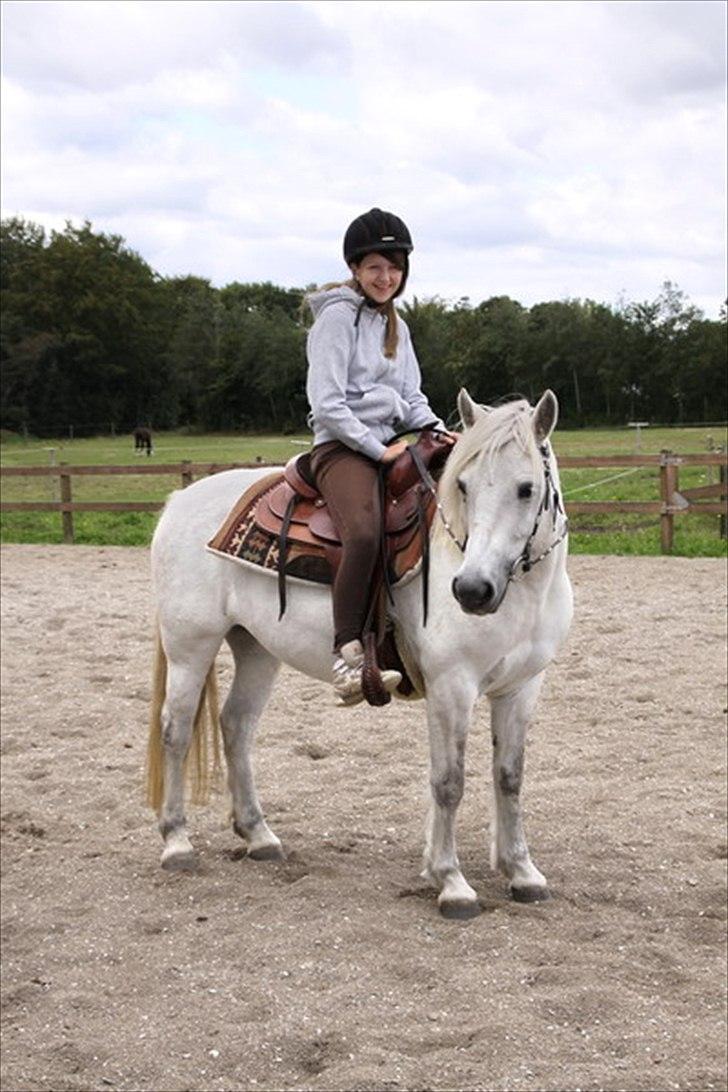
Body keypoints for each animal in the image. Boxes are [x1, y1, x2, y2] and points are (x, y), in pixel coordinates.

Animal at [146, 389, 573, 918]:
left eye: (526, 488)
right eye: (463, 485)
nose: (472, 590)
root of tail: (180, 501)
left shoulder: (521, 686)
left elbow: (509, 777)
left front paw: (521, 872)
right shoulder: (452, 687)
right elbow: (448, 782)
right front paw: (451, 881)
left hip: (257, 648)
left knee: (236, 726)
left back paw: (259, 835)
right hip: (191, 645)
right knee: (176, 731)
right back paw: (177, 842)